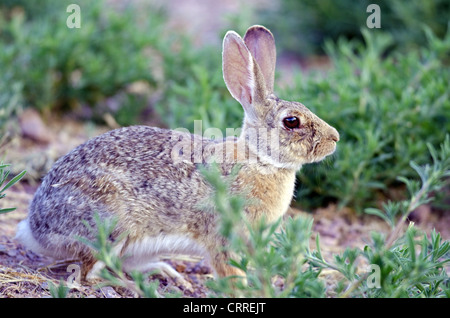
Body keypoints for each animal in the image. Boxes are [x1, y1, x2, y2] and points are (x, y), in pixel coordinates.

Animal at [14, 26, 340, 282]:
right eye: (292, 121)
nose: (335, 138)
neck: (259, 160)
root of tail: (34, 226)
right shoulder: (223, 236)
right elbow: (230, 271)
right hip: (111, 225)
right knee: (89, 271)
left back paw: (166, 272)